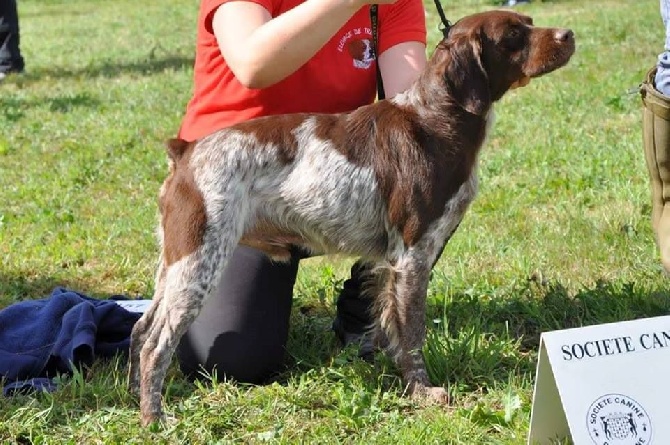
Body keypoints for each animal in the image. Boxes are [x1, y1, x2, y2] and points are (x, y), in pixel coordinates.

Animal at [130, 9, 576, 424]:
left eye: (529, 22)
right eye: (513, 35)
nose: (568, 34)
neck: (435, 118)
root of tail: (185, 152)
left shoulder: (395, 259)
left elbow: (388, 324)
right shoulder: (413, 255)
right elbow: (412, 333)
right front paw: (423, 392)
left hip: (175, 264)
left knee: (140, 330)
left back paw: (134, 396)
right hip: (200, 261)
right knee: (156, 343)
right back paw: (155, 417)